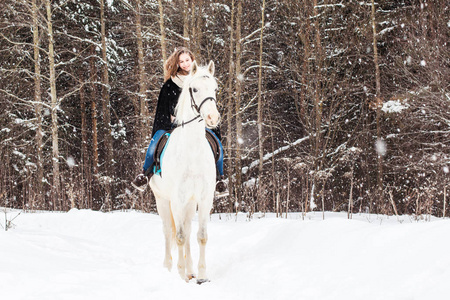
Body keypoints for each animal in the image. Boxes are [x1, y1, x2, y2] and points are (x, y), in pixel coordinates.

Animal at [150, 61, 221, 284]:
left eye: (215, 89)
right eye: (195, 89)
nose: (212, 117)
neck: (192, 152)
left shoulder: (205, 199)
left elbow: (201, 236)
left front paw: (202, 275)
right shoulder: (177, 199)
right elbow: (179, 236)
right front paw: (181, 275)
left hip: (189, 203)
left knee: (188, 231)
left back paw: (191, 270)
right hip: (163, 201)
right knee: (168, 232)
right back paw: (169, 267)